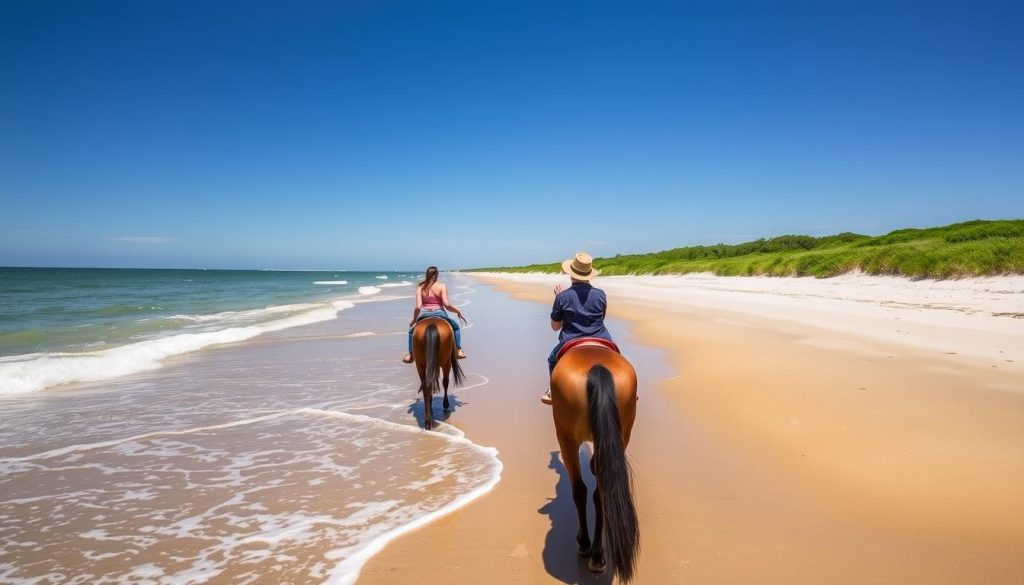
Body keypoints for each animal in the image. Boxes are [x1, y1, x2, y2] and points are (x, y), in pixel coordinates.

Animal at [552, 346, 638, 581]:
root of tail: (597, 368)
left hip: (565, 437)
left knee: (579, 491)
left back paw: (586, 546)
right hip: (622, 433)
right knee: (601, 495)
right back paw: (598, 556)